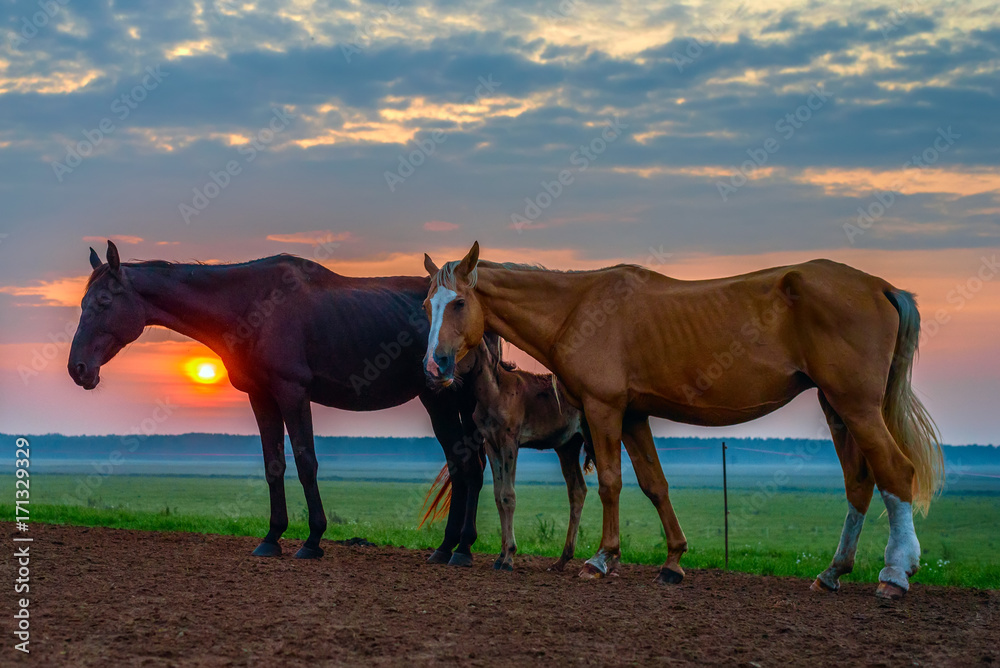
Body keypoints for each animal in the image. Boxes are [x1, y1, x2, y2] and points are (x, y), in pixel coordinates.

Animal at [67, 240, 488, 564]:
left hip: (445, 400)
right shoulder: (262, 396)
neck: (252, 305)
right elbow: (274, 465)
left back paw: (459, 548)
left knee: (465, 465)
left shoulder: (292, 392)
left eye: (103, 302)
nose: (78, 368)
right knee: (464, 467)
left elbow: (305, 462)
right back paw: (450, 547)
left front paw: (312, 540)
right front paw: (271, 538)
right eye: (83, 302)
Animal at [416, 334, 592, 568]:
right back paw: (562, 561)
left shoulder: (510, 444)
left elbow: (509, 495)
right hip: (567, 448)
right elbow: (499, 496)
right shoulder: (493, 445)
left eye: (461, 347)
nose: (432, 377)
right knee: (577, 490)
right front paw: (501, 556)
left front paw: (508, 558)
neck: (496, 393)